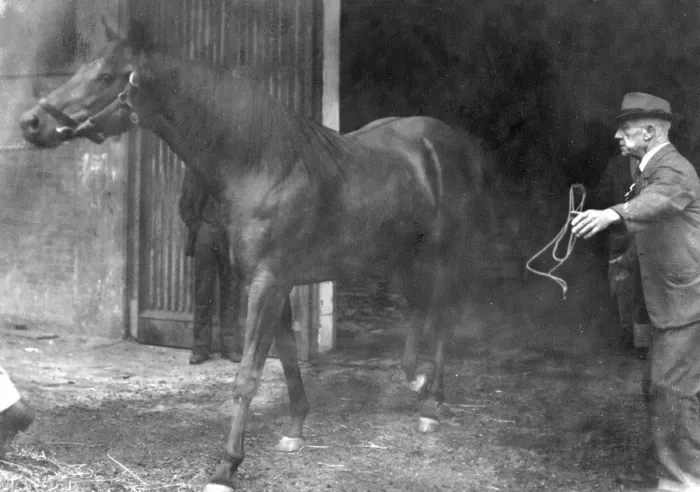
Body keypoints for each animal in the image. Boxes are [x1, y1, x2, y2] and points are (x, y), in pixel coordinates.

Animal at [19, 20, 489, 492]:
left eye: (105, 77)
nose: (30, 122)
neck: (262, 163)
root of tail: (448, 142)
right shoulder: (271, 282)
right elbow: (287, 357)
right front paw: (295, 430)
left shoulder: (268, 282)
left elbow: (248, 375)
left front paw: (226, 467)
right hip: (404, 257)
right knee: (420, 311)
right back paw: (417, 381)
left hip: (442, 256)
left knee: (443, 319)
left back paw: (432, 405)